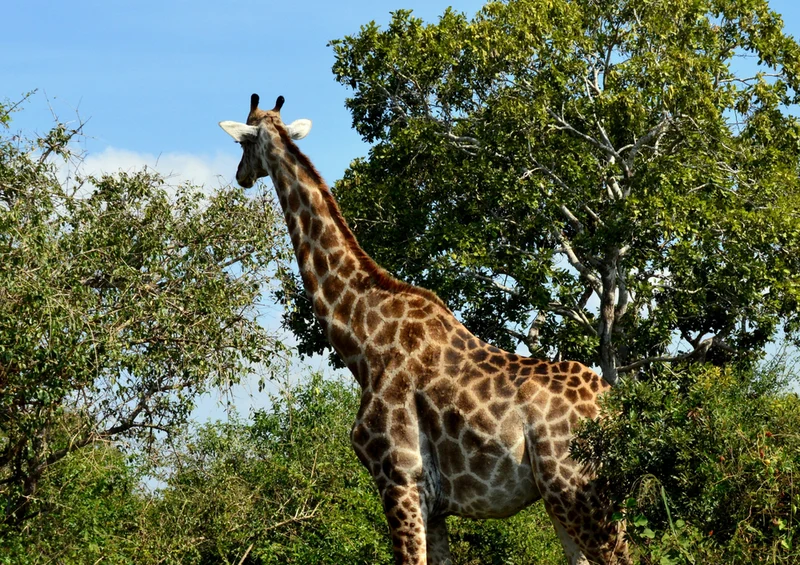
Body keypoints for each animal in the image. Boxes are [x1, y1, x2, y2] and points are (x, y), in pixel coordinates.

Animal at [219, 94, 630, 565]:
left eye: (242, 142)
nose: (241, 176)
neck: (361, 338)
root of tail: (615, 407)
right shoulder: (433, 505)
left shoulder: (399, 478)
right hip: (561, 499)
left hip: (581, 492)